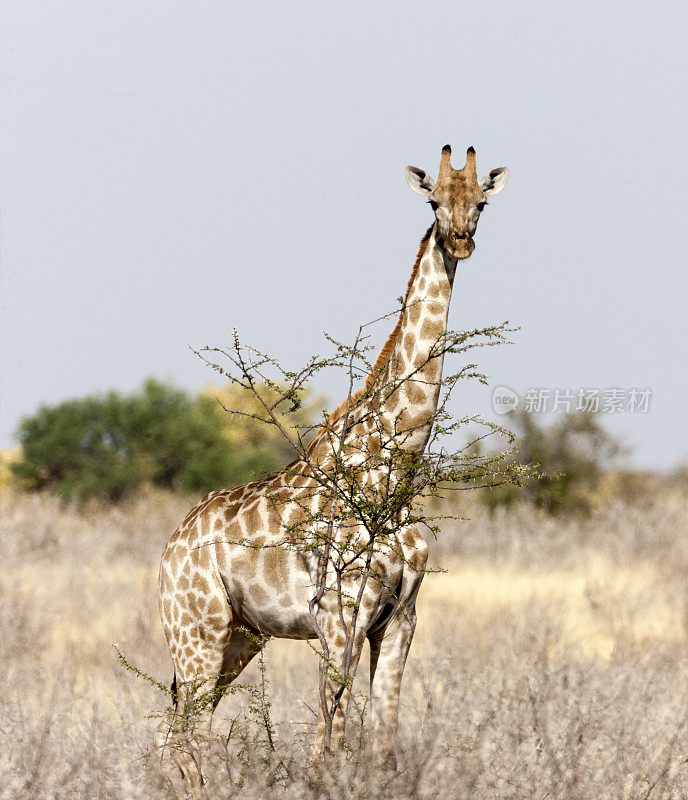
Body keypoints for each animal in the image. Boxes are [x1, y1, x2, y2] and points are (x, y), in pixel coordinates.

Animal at [159, 142, 508, 792]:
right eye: (432, 200)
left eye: (481, 203)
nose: (460, 241)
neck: (393, 472)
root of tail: (169, 546)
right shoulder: (339, 615)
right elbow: (331, 740)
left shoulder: (400, 618)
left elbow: (382, 741)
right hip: (197, 629)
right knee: (181, 733)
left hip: (239, 636)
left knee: (178, 730)